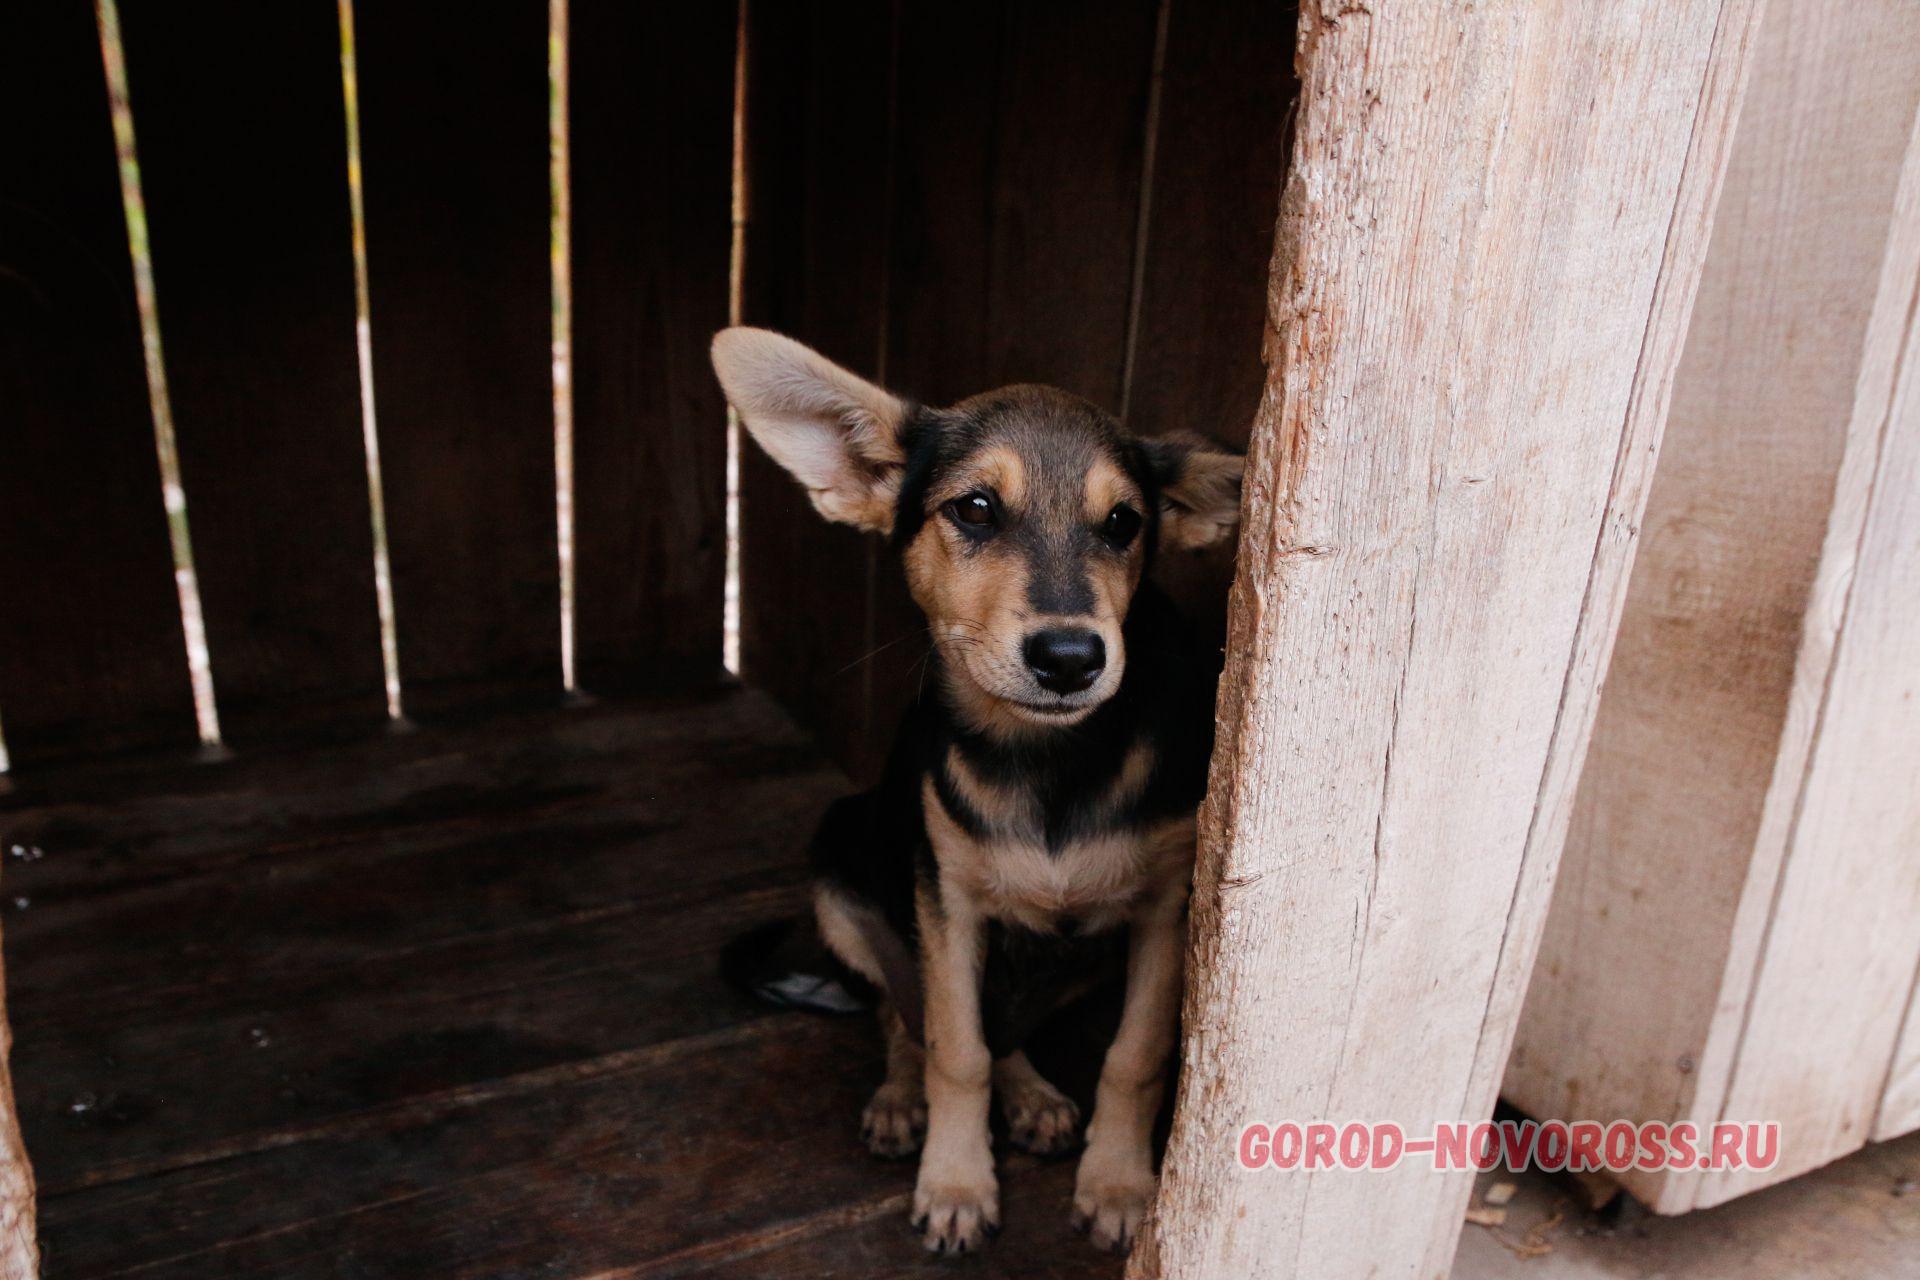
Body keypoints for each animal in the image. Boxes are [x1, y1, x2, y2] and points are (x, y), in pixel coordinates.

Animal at [710, 328, 1244, 1251]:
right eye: (974, 510)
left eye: (1124, 523)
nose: (1070, 658)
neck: (1045, 760)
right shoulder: (947, 901)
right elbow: (955, 1049)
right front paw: (957, 1182)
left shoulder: (1164, 910)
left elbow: (1133, 1058)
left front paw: (1117, 1183)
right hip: (841, 875)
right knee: (908, 1014)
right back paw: (901, 1100)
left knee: (1004, 1027)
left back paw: (1031, 1096)